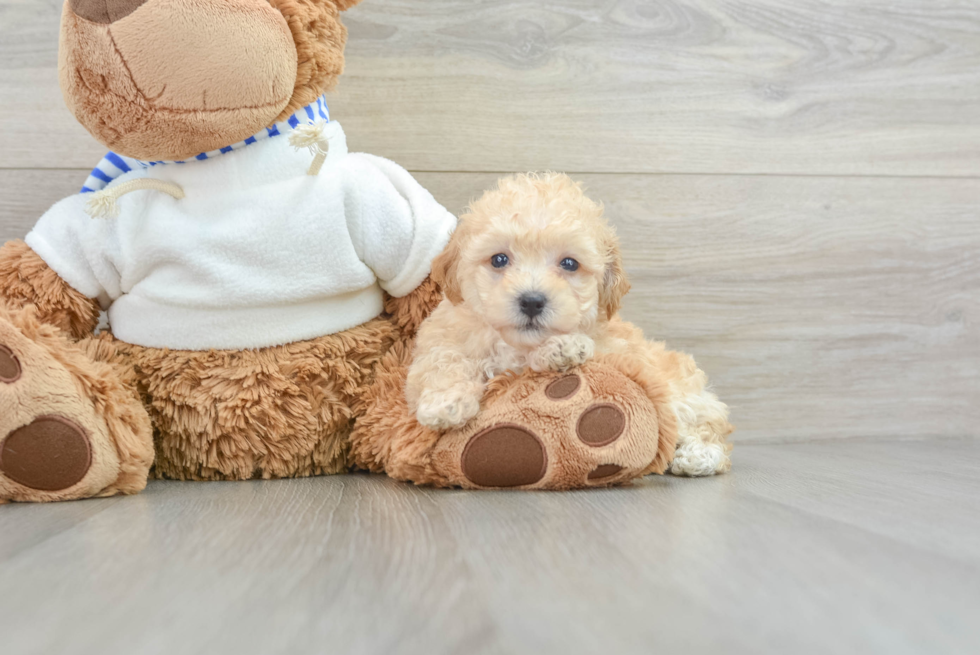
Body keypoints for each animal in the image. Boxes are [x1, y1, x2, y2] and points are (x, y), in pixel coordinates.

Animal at [402, 174, 732, 476]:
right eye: (499, 259)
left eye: (569, 264)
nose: (532, 301)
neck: (514, 344)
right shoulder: (444, 333)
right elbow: (443, 359)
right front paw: (445, 403)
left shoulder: (611, 348)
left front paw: (562, 347)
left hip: (681, 394)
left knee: (710, 424)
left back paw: (698, 456)